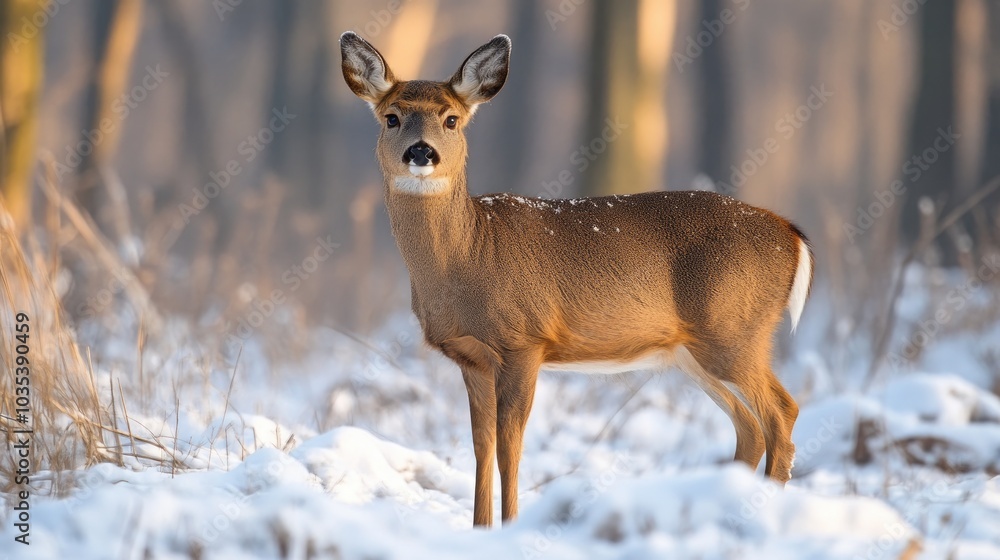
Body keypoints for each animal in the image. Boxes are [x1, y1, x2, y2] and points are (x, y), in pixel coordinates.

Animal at [340, 31, 816, 528]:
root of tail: (792, 235)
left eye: (451, 119)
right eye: (391, 117)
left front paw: (509, 525)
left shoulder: (524, 341)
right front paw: (480, 529)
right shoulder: (472, 358)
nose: (421, 152)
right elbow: (481, 446)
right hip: (696, 352)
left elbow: (510, 447)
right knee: (750, 427)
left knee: (782, 413)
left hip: (735, 331)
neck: (469, 255)